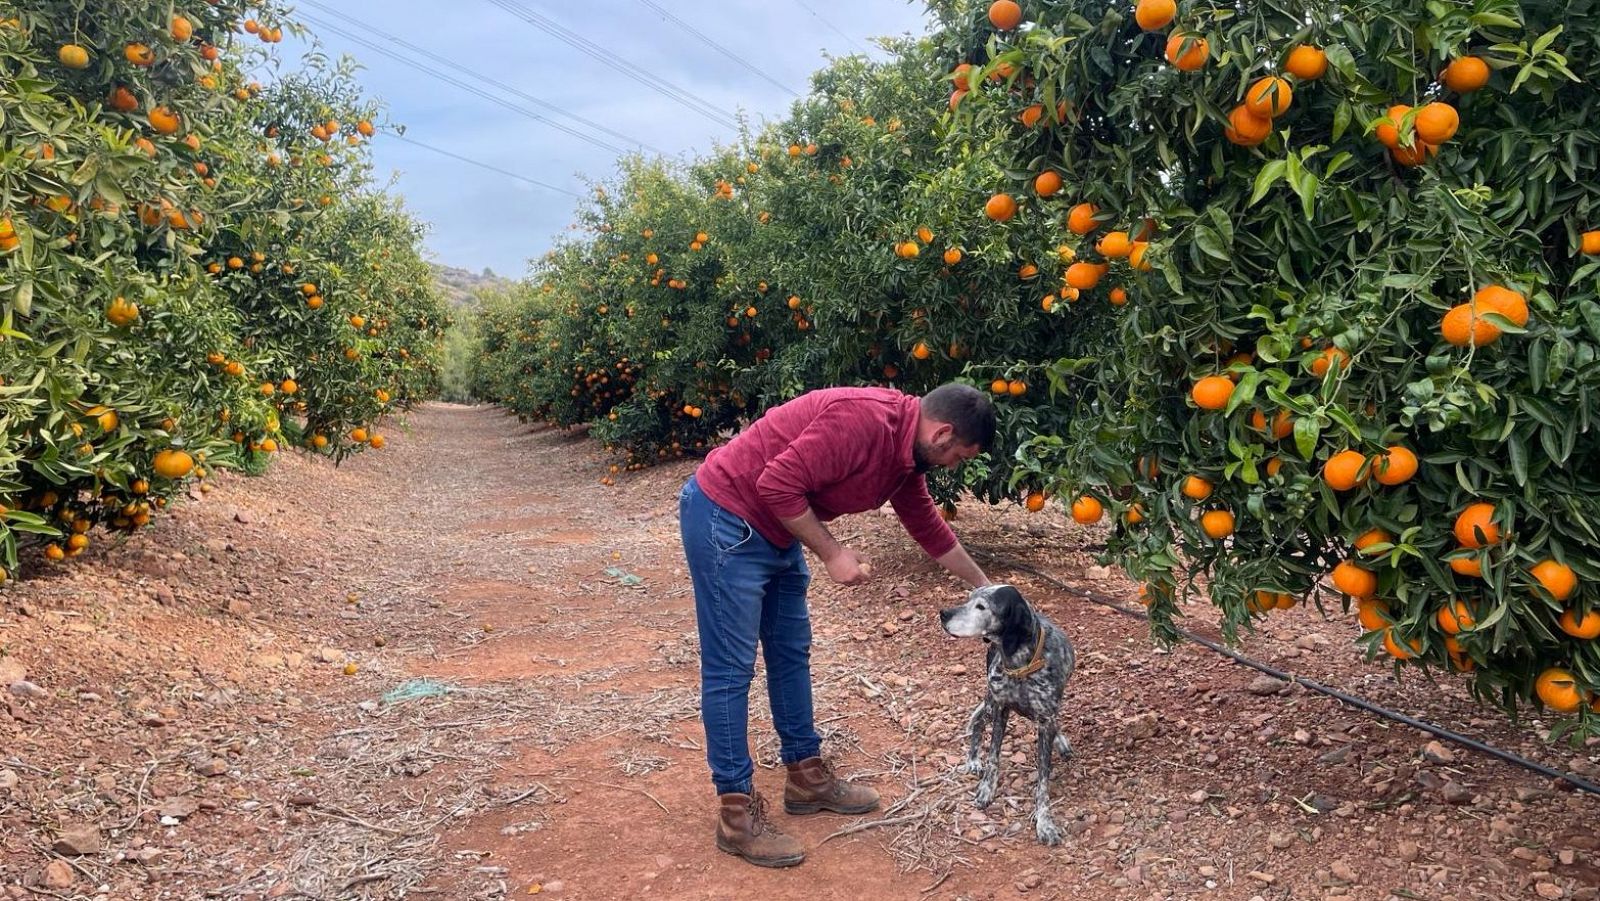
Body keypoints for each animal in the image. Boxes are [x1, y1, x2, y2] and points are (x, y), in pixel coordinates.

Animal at [934, 585, 1075, 844]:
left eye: (981, 606)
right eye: (968, 598)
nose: (944, 614)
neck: (1022, 665)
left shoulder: (1045, 719)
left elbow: (1043, 780)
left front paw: (1045, 822)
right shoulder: (1000, 709)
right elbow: (993, 757)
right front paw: (986, 790)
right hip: (991, 703)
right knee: (978, 722)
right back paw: (973, 760)